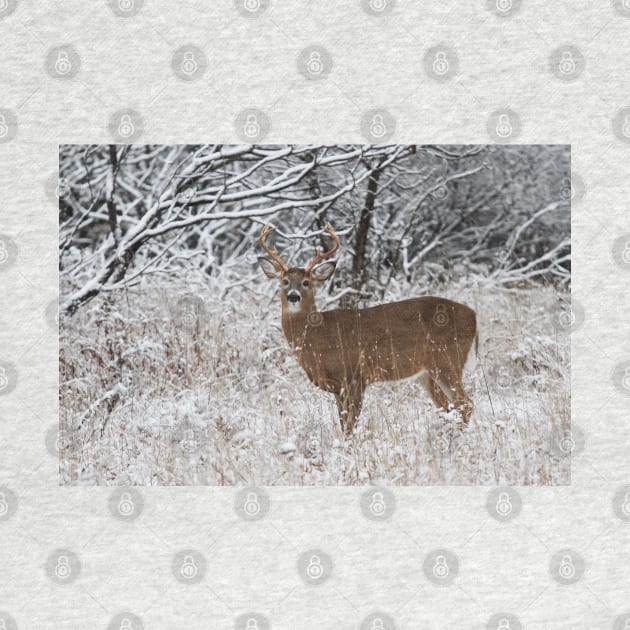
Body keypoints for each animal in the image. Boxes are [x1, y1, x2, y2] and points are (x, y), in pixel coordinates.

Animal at [258, 223, 478, 434]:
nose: (293, 296)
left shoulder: (356, 376)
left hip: (448, 360)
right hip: (428, 373)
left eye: (306, 282)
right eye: (284, 281)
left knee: (466, 404)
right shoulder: (339, 387)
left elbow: (350, 426)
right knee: (448, 408)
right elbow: (344, 424)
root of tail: (473, 316)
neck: (319, 336)